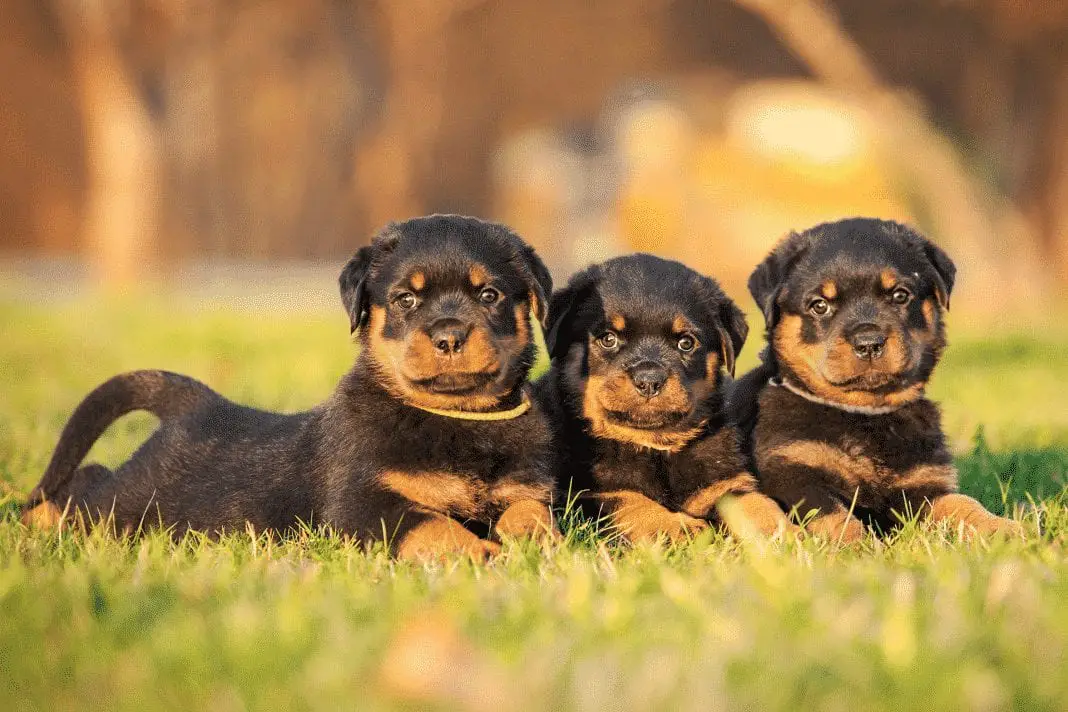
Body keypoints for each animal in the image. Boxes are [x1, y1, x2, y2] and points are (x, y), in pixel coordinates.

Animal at [22, 214, 559, 559]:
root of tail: (200, 405)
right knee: (77, 496)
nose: (449, 336)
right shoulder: (362, 504)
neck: (457, 416)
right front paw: (481, 553)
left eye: (489, 294)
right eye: (405, 298)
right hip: (128, 505)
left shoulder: (527, 489)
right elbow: (433, 525)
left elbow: (530, 511)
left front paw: (540, 543)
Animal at [538, 252, 798, 542]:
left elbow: (757, 503)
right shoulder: (586, 494)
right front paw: (676, 527)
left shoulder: (724, 482)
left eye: (686, 343)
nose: (649, 380)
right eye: (608, 339)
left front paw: (788, 535)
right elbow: (630, 501)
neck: (654, 448)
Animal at [730, 217, 1021, 540]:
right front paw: (857, 546)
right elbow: (835, 516)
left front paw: (1003, 526)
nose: (869, 342)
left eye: (900, 295)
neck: (864, 414)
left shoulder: (923, 482)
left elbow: (961, 502)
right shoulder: (794, 474)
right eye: (820, 305)